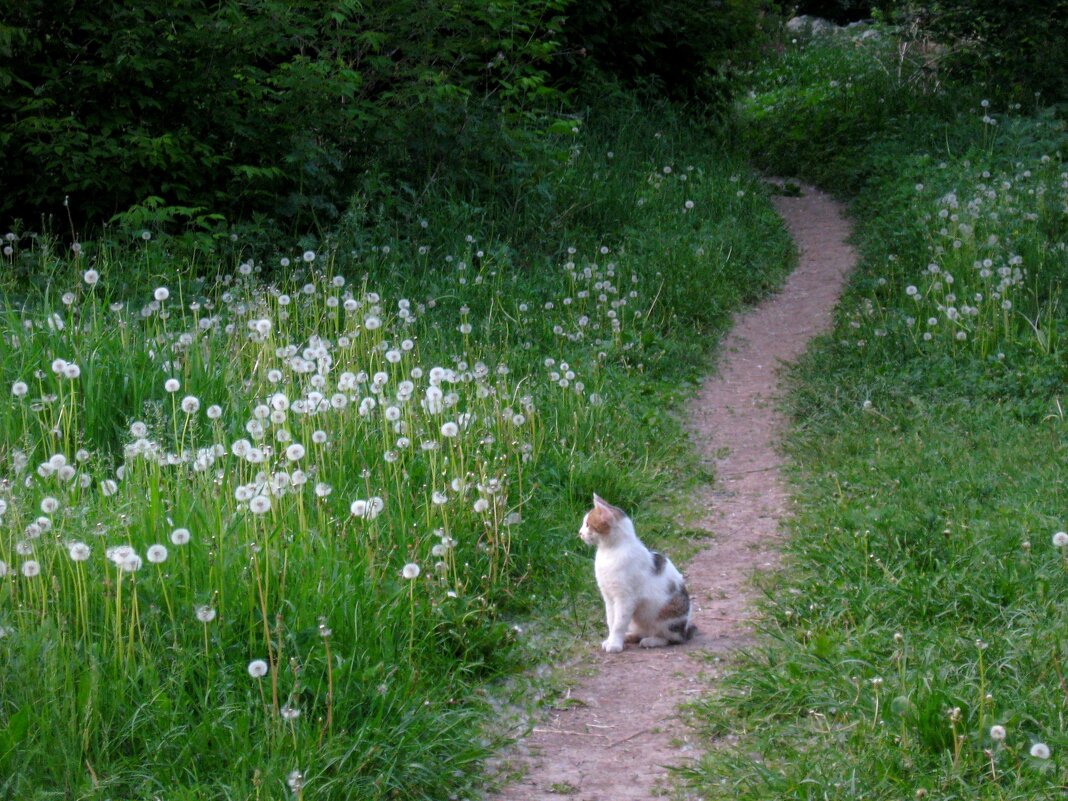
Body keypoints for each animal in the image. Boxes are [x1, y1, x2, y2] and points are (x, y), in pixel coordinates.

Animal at [580, 495, 696, 653]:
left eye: (587, 524)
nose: (579, 533)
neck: (609, 551)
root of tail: (685, 629)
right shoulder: (609, 597)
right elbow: (611, 621)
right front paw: (611, 640)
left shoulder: (625, 598)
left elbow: (618, 624)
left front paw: (614, 644)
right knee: (642, 632)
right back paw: (630, 636)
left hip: (667, 618)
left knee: (672, 639)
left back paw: (651, 641)